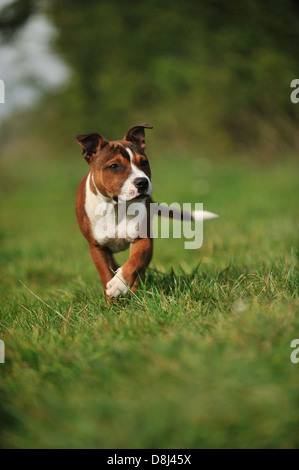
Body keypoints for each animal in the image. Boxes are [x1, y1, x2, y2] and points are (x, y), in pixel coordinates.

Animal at [76, 123, 217, 296]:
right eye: (114, 166)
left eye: (144, 162)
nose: (142, 182)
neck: (116, 208)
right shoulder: (97, 248)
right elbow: (105, 273)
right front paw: (111, 298)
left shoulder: (143, 240)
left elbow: (135, 262)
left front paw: (119, 284)